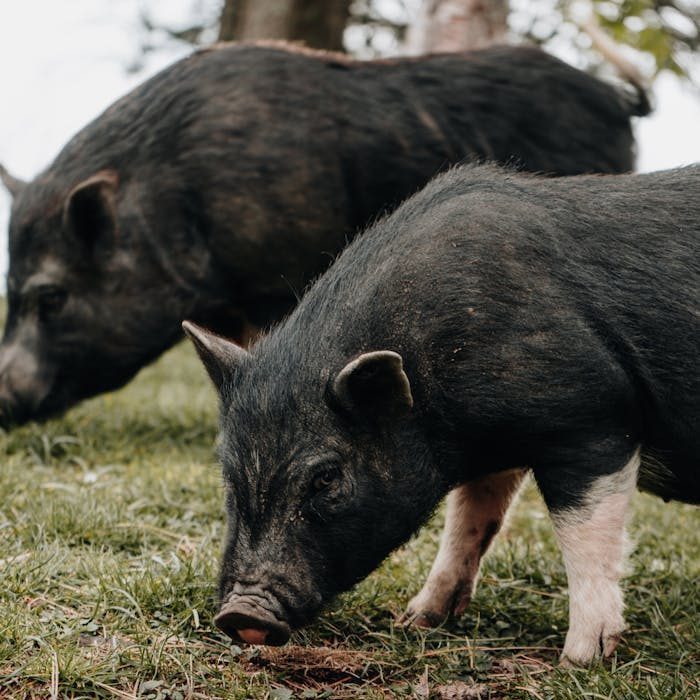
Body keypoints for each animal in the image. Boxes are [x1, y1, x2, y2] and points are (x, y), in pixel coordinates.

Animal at [184, 163, 699, 665]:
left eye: (327, 477)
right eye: (228, 475)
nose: (240, 613)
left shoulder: (593, 416)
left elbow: (584, 532)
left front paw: (580, 660)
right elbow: (470, 519)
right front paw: (415, 621)